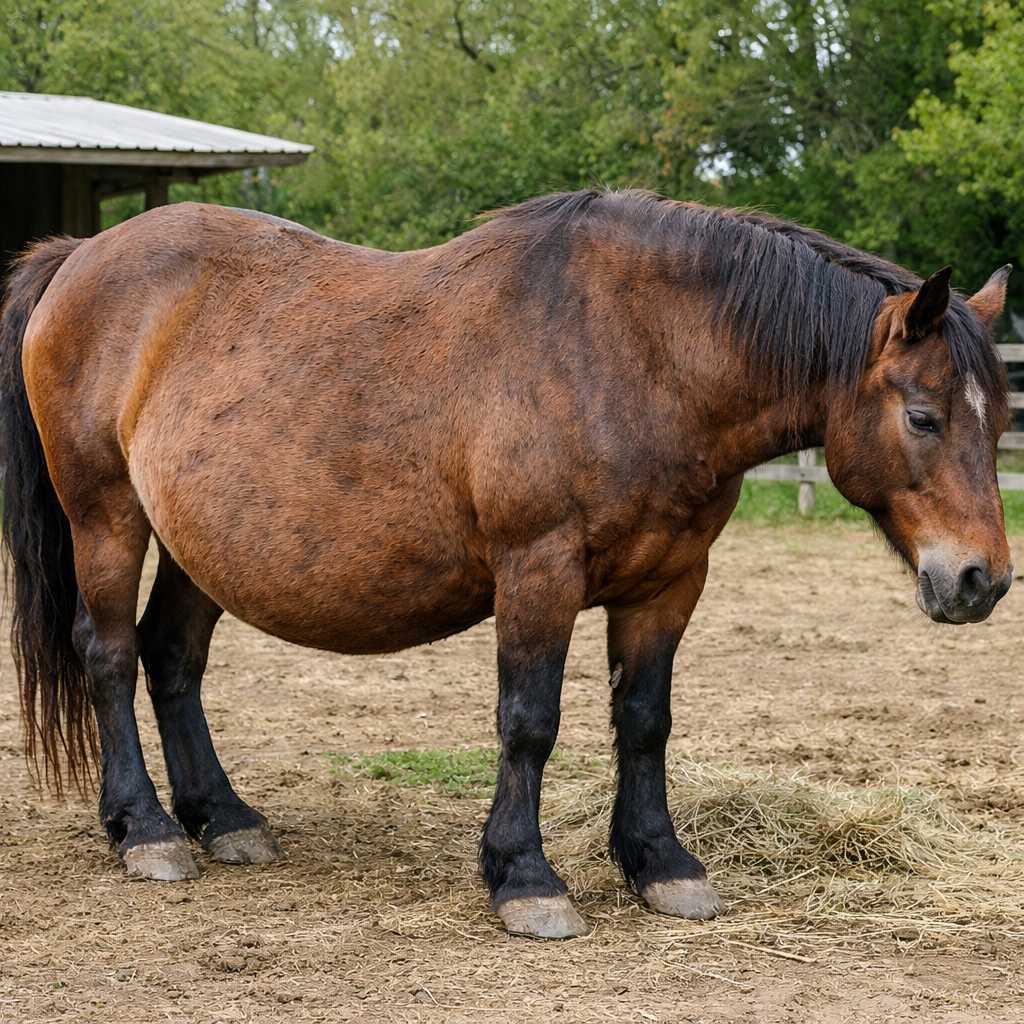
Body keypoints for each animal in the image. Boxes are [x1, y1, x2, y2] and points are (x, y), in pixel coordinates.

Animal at [0, 189, 1012, 940]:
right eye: (923, 417)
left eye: (998, 418)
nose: (982, 581)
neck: (640, 352)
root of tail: (79, 256)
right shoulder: (540, 571)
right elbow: (530, 722)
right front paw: (525, 878)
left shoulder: (669, 582)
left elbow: (645, 722)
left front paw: (662, 865)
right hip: (108, 517)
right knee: (110, 656)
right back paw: (145, 830)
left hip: (198, 546)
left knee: (173, 658)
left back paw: (225, 818)